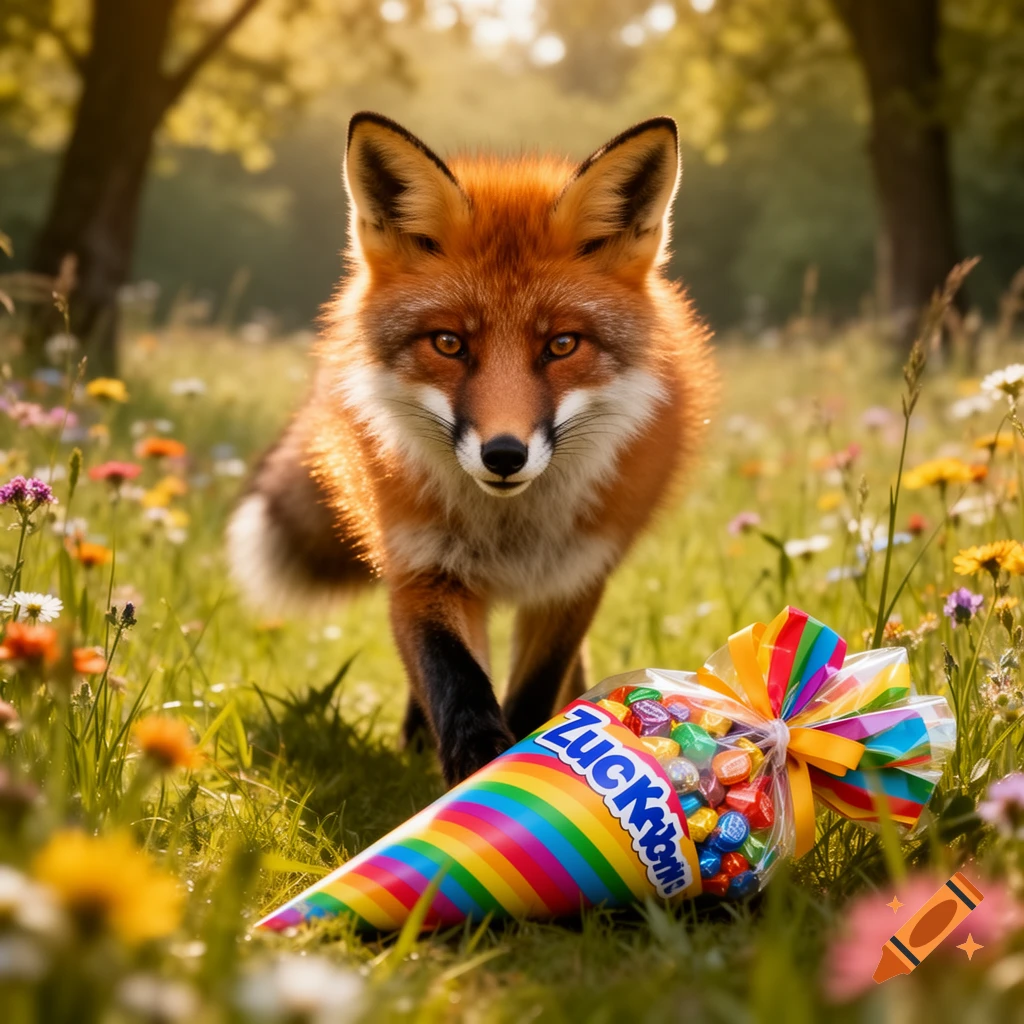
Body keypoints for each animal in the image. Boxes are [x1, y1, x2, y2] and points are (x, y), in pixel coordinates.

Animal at [227, 111, 716, 786]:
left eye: (562, 345)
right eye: (449, 343)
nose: (504, 455)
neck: (508, 531)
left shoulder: (574, 578)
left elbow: (533, 694)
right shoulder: (422, 565)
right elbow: (455, 683)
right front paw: (472, 766)